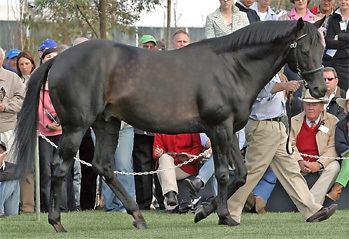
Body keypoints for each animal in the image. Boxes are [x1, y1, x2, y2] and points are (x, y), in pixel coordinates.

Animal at [12, 18, 324, 232]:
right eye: (303, 48)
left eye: (321, 47)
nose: (320, 89)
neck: (231, 67)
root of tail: (59, 60)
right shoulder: (218, 128)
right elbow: (224, 174)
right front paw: (222, 215)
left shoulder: (229, 130)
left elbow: (242, 174)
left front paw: (204, 211)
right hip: (76, 127)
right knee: (59, 167)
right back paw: (57, 222)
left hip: (107, 123)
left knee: (103, 167)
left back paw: (138, 216)